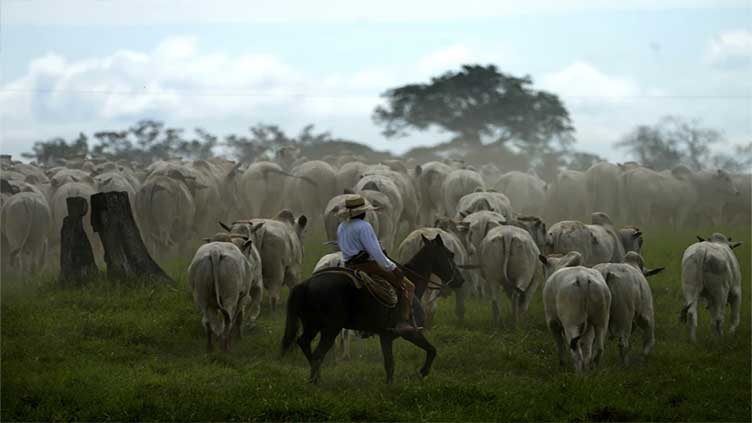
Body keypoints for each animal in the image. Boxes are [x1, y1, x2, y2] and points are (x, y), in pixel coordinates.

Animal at [280, 235, 462, 384]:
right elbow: (431, 350)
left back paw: (316, 377)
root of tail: (306, 284)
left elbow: (390, 363)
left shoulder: (385, 335)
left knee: (304, 343)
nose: (461, 279)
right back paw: (316, 380)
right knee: (318, 353)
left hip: (313, 325)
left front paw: (391, 385)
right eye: (450, 254)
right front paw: (422, 372)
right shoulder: (409, 332)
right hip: (330, 329)